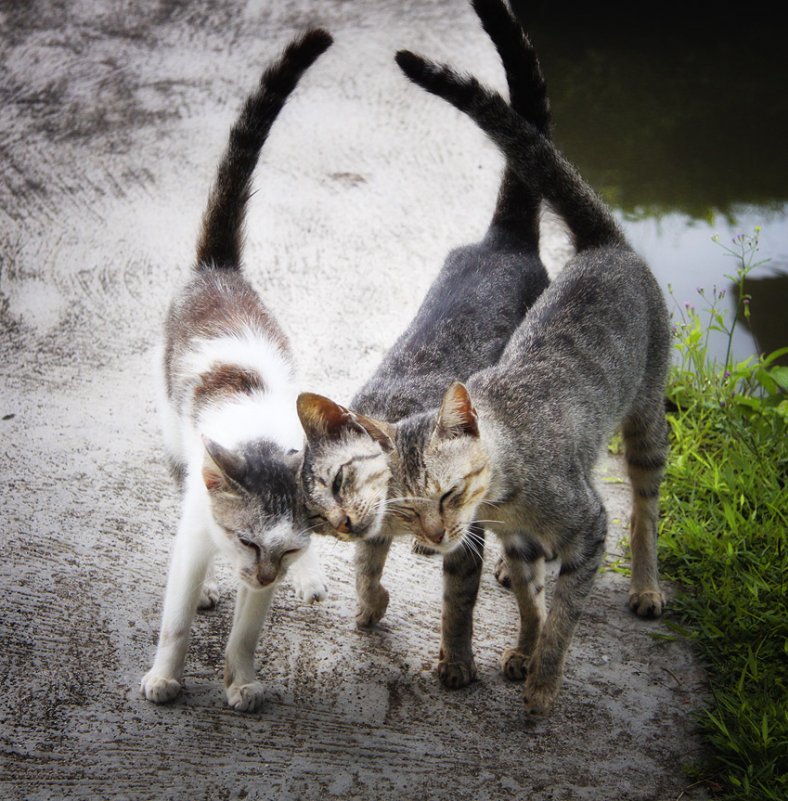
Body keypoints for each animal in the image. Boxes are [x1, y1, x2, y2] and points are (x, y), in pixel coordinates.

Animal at [142, 28, 332, 708]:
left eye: (280, 548)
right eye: (246, 540)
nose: (262, 571)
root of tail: (219, 269)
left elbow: (248, 632)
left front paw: (243, 682)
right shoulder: (200, 531)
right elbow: (175, 616)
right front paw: (165, 678)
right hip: (172, 430)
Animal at [296, 0, 548, 632]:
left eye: (344, 478)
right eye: (315, 511)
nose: (343, 522)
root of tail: (504, 239)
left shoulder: (466, 513)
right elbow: (366, 567)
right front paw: (369, 605)